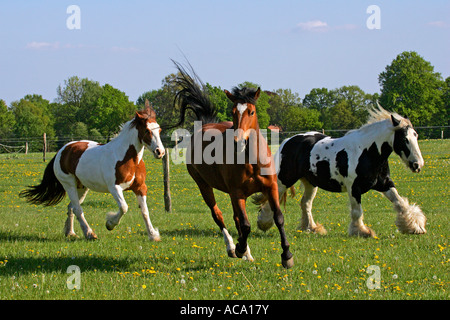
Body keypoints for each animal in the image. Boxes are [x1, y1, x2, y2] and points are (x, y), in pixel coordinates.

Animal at [19, 101, 165, 241]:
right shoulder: (115, 188)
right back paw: (89, 234)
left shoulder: (140, 187)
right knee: (77, 208)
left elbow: (145, 211)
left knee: (71, 207)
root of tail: (62, 150)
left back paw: (70, 233)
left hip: (82, 187)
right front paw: (110, 224)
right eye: (147, 130)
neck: (127, 159)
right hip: (69, 184)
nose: (160, 152)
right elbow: (124, 207)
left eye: (159, 130)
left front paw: (153, 235)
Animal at [171, 61, 294, 268]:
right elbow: (245, 224)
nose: (239, 142)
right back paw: (232, 247)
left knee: (236, 219)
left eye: (251, 112)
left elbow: (278, 218)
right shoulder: (238, 193)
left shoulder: (271, 188)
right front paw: (239, 248)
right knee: (218, 215)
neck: (252, 161)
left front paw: (286, 255)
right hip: (204, 186)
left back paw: (246, 253)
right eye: (233, 112)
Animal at [255, 105, 428, 238]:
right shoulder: (354, 188)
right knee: (275, 198)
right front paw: (362, 232)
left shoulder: (385, 184)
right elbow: (357, 211)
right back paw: (264, 223)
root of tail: (288, 141)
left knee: (305, 203)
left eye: (416, 135)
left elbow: (400, 203)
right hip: (285, 179)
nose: (417, 165)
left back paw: (312, 228)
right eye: (404, 139)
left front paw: (415, 227)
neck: (367, 153)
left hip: (311, 183)